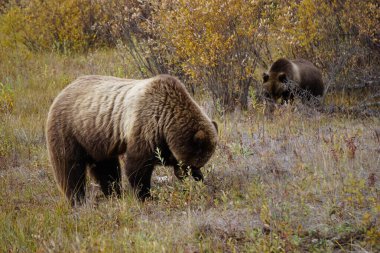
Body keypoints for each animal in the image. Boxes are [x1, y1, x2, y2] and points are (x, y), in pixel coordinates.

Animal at [46, 74, 218, 206]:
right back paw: (77, 200)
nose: (194, 176)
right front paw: (146, 196)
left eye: (200, 164)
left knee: (106, 169)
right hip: (70, 131)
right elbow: (137, 167)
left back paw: (114, 194)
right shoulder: (145, 127)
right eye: (193, 164)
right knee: (70, 169)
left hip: (97, 140)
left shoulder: (163, 140)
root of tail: (62, 92)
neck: (166, 120)